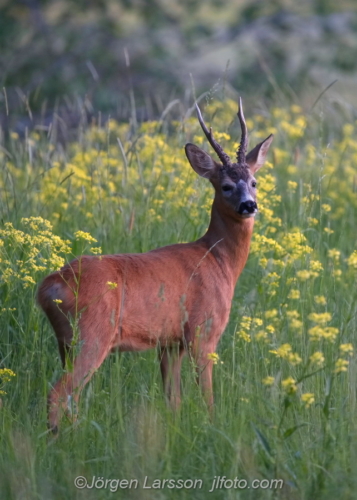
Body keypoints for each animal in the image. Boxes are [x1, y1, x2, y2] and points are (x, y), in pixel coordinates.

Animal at [37, 97, 272, 430]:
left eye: (254, 181)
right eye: (226, 185)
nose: (249, 205)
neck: (217, 259)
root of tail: (51, 285)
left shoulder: (169, 341)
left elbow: (173, 400)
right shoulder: (203, 330)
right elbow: (207, 396)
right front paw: (213, 427)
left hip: (65, 341)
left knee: (73, 396)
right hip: (91, 333)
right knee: (59, 393)